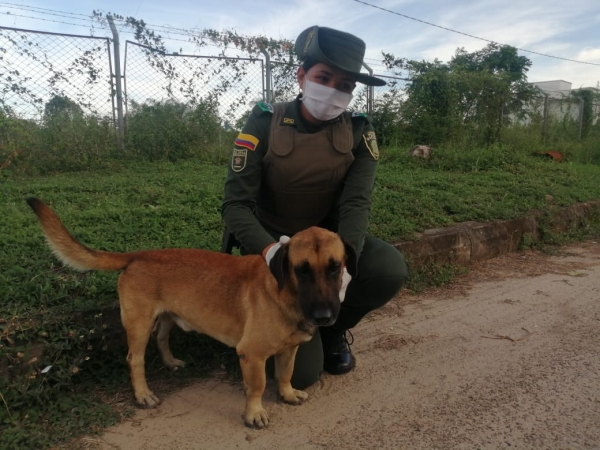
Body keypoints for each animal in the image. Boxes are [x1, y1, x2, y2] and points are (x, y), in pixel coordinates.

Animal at [27, 199, 356, 428]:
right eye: (301, 270)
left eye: (335, 268)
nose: (325, 317)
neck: (285, 292)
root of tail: (139, 255)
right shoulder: (251, 355)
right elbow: (258, 385)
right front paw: (254, 413)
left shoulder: (288, 350)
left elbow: (285, 374)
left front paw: (287, 394)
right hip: (138, 325)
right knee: (135, 360)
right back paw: (143, 394)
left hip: (166, 317)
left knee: (161, 339)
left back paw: (171, 361)